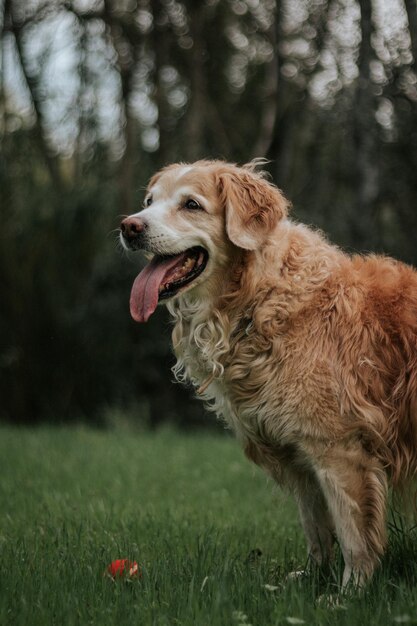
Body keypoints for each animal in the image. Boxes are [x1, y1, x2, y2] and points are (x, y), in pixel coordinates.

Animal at [118, 160, 416, 584]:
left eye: (191, 204)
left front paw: (350, 591)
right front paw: (310, 579)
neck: (258, 300)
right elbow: (316, 529)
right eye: (148, 202)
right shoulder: (298, 454)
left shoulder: (339, 449)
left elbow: (354, 537)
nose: (129, 226)